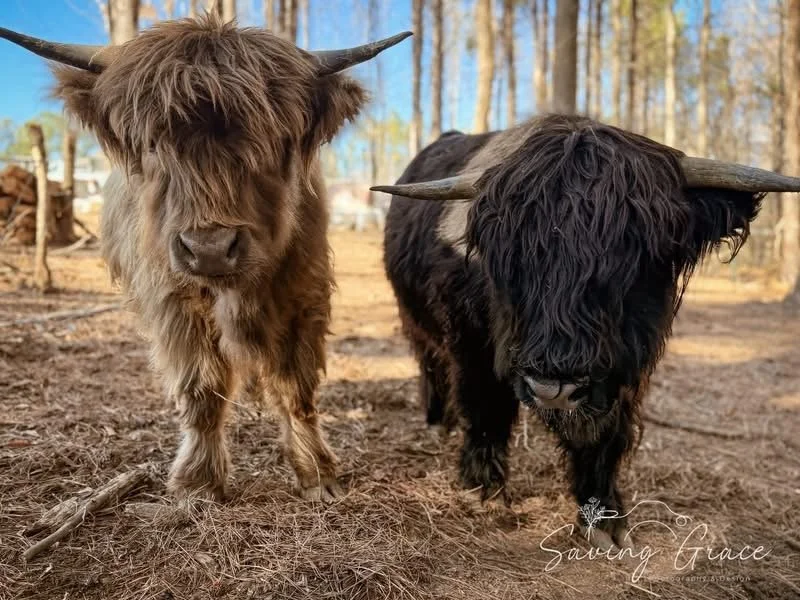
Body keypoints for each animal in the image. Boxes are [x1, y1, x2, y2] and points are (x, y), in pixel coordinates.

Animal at [0, 16, 410, 502]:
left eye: (275, 140)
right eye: (152, 144)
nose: (211, 248)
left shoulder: (303, 292)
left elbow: (296, 385)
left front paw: (317, 474)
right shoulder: (173, 299)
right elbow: (202, 388)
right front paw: (198, 481)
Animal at [374, 114, 800, 549]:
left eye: (634, 256)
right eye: (510, 257)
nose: (553, 387)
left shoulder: (623, 372)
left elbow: (603, 439)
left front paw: (605, 518)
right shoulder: (471, 347)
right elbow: (485, 409)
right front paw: (483, 490)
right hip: (416, 322)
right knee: (431, 369)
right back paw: (437, 424)